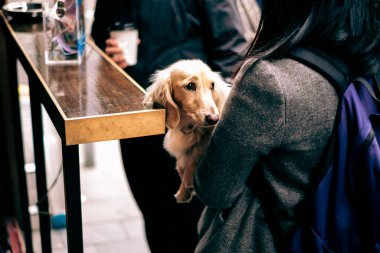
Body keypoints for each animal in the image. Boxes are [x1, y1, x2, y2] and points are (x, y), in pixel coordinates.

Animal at [143, 58, 230, 202]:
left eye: (212, 85)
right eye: (190, 86)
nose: (214, 119)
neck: (189, 126)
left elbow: (193, 159)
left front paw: (186, 187)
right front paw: (184, 193)